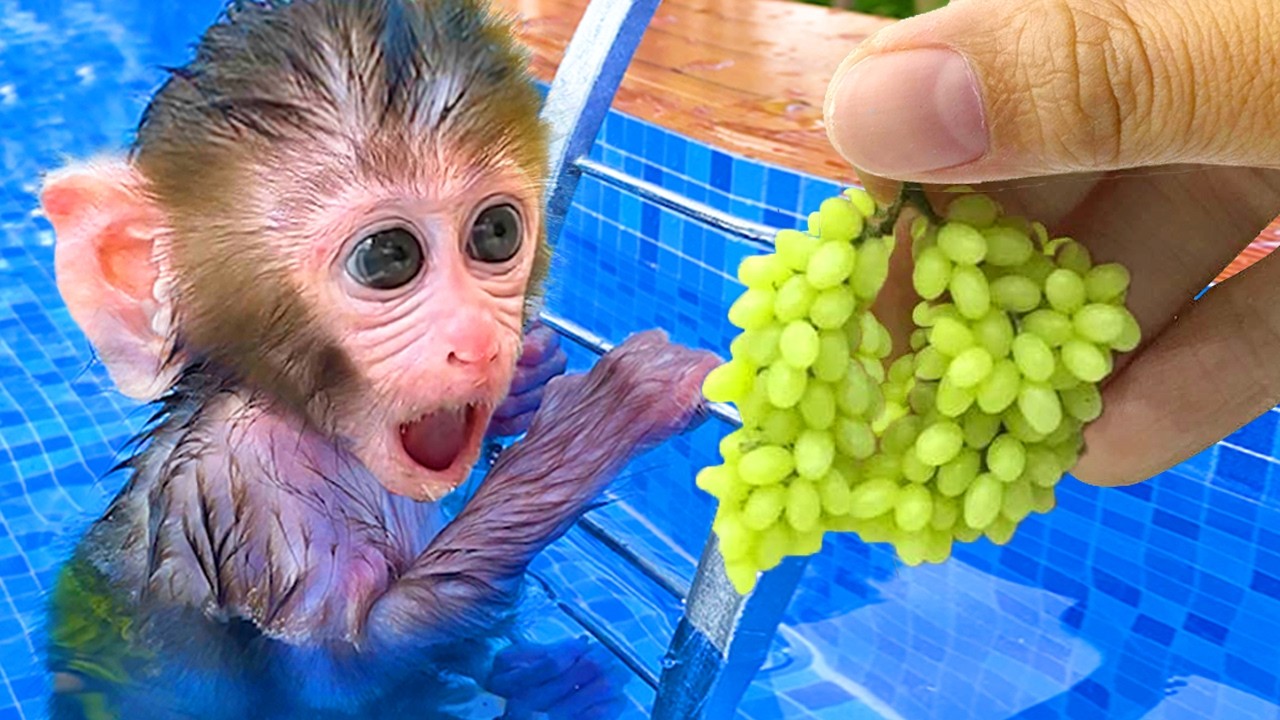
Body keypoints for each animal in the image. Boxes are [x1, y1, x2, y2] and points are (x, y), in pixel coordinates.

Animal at [37, 1, 720, 718]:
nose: (479, 340)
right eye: (387, 257)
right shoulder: (257, 494)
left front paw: (530, 380)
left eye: (497, 232)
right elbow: (345, 672)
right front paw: (597, 420)